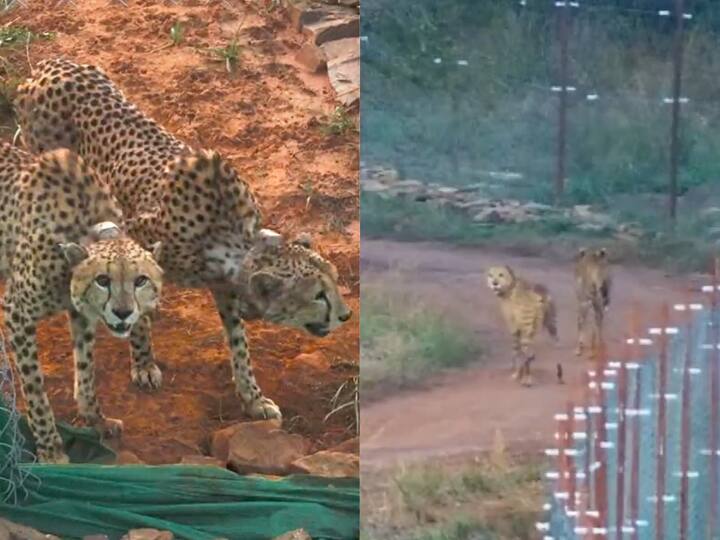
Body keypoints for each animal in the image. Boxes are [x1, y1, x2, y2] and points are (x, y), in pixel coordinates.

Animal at [0, 144, 162, 464]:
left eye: (140, 280)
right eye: (102, 280)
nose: (123, 313)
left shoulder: (81, 313)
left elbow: (86, 370)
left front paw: (96, 419)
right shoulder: (17, 312)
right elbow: (35, 389)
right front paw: (50, 449)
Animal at [15, 59, 352, 422]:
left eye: (335, 281)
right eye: (318, 295)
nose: (346, 315)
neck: (230, 237)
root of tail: (50, 65)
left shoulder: (224, 284)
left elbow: (239, 343)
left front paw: (253, 397)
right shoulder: (133, 238)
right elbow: (130, 297)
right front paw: (143, 361)